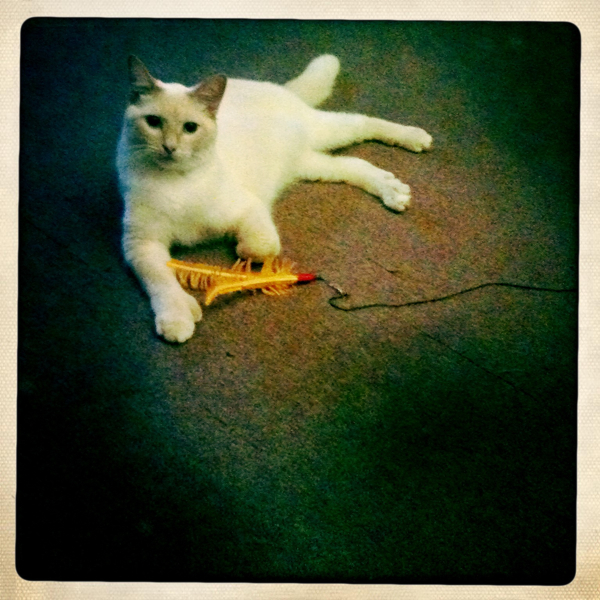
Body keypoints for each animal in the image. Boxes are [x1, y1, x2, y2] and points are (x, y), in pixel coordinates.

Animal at [116, 54, 432, 343]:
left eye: (190, 128)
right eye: (153, 122)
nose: (169, 148)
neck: (177, 182)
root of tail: (275, 87)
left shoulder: (248, 208)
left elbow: (260, 247)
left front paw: (241, 256)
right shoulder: (141, 245)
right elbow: (162, 282)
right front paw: (178, 319)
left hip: (324, 131)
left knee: (362, 123)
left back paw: (415, 139)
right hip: (310, 164)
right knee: (354, 165)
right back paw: (393, 190)